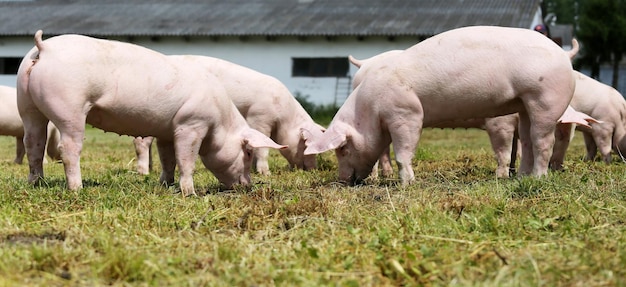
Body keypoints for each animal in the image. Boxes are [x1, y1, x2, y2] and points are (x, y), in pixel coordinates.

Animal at [16, 32, 286, 198]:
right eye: (247, 152)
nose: (248, 186)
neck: (219, 122)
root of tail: (44, 47)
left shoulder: (168, 130)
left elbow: (168, 159)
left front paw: (164, 184)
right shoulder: (191, 124)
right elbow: (187, 159)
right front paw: (190, 193)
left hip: (26, 103)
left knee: (33, 142)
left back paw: (35, 183)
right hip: (69, 106)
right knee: (68, 147)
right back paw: (77, 188)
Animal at [133, 54, 324, 176]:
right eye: (305, 144)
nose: (313, 169)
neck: (283, 116)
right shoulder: (259, 117)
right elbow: (263, 148)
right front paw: (265, 174)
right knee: (142, 142)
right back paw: (144, 172)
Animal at [302, 25, 576, 186]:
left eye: (342, 149)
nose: (343, 181)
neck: (369, 109)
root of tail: (563, 55)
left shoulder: (406, 113)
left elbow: (403, 152)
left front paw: (406, 185)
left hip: (545, 98)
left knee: (543, 141)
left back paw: (538, 178)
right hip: (524, 103)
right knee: (528, 140)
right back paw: (521, 177)